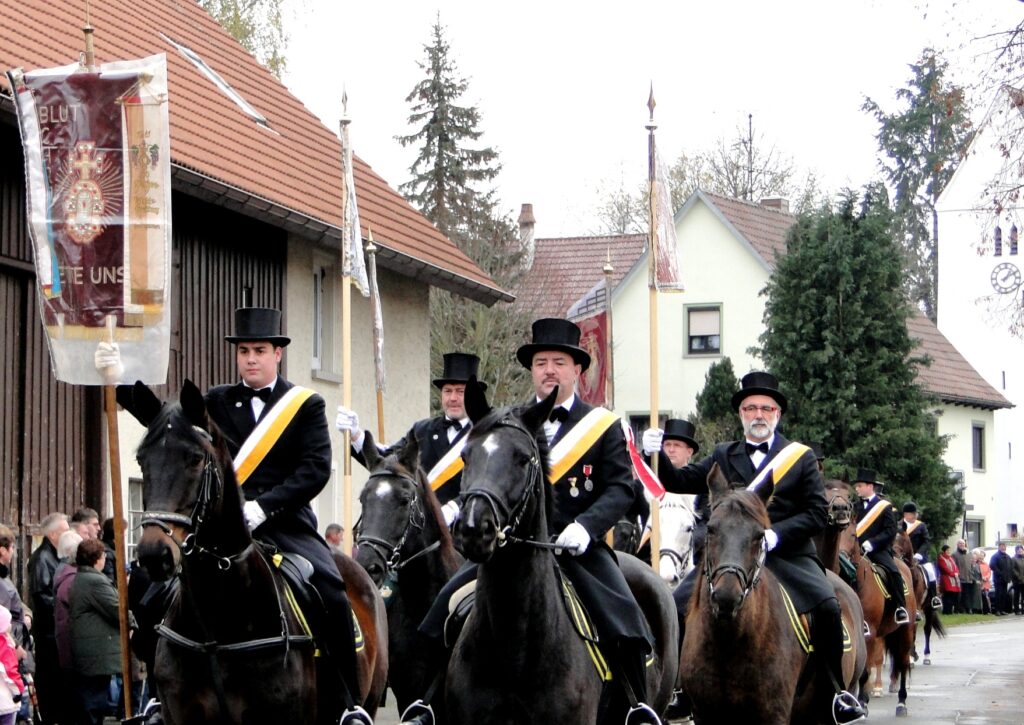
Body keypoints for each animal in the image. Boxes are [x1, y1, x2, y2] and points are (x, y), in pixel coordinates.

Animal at [839, 516, 915, 715]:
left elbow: (865, 669)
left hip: (905, 631)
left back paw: (901, 702)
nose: (841, 558)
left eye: (853, 535)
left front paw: (863, 702)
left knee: (903, 662)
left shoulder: (870, 632)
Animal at [892, 530, 945, 666]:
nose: (894, 554)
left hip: (929, 609)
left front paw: (911, 657)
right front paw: (910, 656)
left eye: (903, 540)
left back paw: (926, 656)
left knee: (927, 629)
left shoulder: (915, 609)